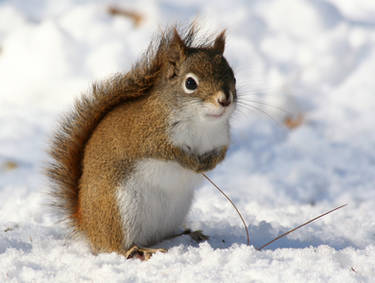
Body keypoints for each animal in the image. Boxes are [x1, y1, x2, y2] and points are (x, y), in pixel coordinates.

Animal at [46, 26, 235, 262]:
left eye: (233, 75)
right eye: (190, 83)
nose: (225, 100)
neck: (201, 122)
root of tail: (87, 226)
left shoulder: (221, 138)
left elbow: (222, 154)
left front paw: (209, 164)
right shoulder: (148, 137)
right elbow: (171, 153)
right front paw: (191, 163)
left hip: (174, 211)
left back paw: (188, 234)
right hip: (119, 210)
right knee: (114, 246)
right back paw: (140, 250)